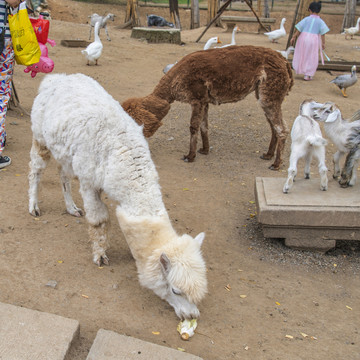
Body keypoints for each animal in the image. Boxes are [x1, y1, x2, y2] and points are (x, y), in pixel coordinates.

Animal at [28, 72, 208, 318]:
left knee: (63, 174)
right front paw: (100, 255)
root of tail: (55, 78)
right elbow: (99, 220)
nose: (192, 316)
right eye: (175, 290)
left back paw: (71, 208)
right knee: (35, 169)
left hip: (65, 150)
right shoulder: (89, 182)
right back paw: (34, 206)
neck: (121, 154)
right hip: (40, 136)